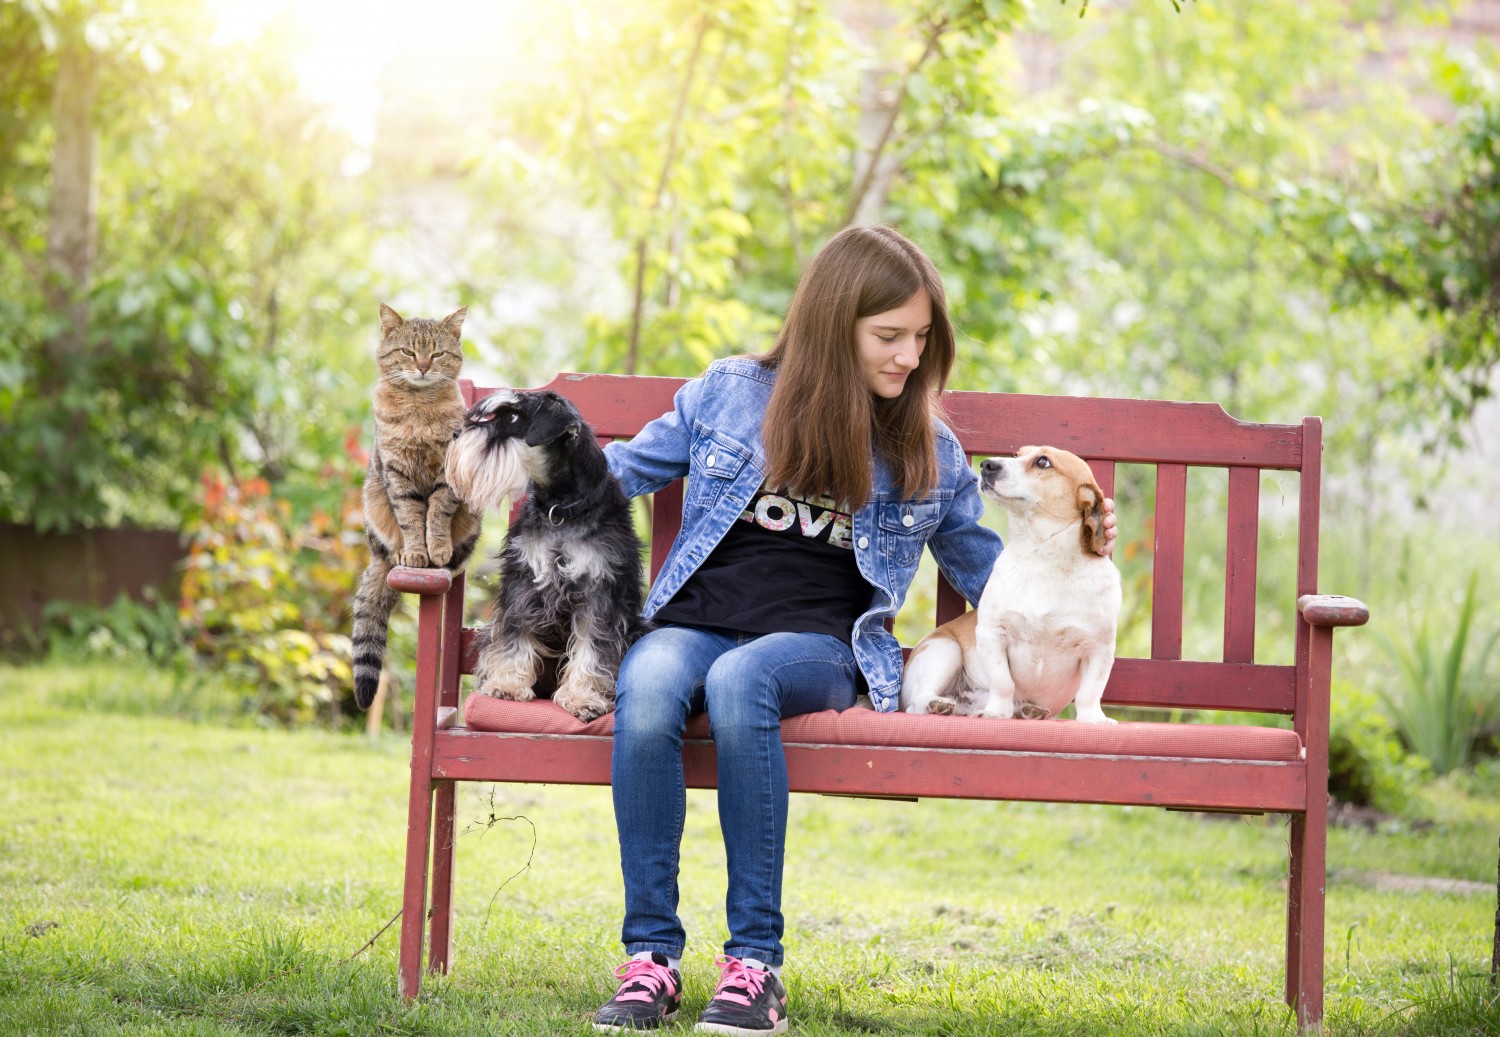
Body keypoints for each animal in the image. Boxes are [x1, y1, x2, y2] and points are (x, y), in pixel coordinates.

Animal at [349, 304, 480, 711]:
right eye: (409, 352)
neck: (419, 412)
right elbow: (411, 519)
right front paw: (417, 553)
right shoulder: (397, 476)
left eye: (436, 354)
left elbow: (435, 516)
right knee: (392, 547)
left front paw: (436, 550)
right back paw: (401, 555)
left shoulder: (447, 477)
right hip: (374, 508)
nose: (422, 366)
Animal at [450, 390, 651, 723]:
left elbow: (592, 647)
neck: (561, 509)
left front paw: (583, 698)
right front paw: (507, 684)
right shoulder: (524, 583)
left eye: (513, 416)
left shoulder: (599, 592)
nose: (455, 434)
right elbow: (514, 637)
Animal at [894, 444, 1122, 723]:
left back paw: (1026, 710)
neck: (1043, 558)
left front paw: (1093, 719)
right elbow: (1003, 683)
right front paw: (996, 712)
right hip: (945, 650)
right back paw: (939, 703)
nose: (987, 465)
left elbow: (1089, 693)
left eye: (1043, 461)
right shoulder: (993, 635)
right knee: (917, 704)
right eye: (1017, 454)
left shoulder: (1099, 649)